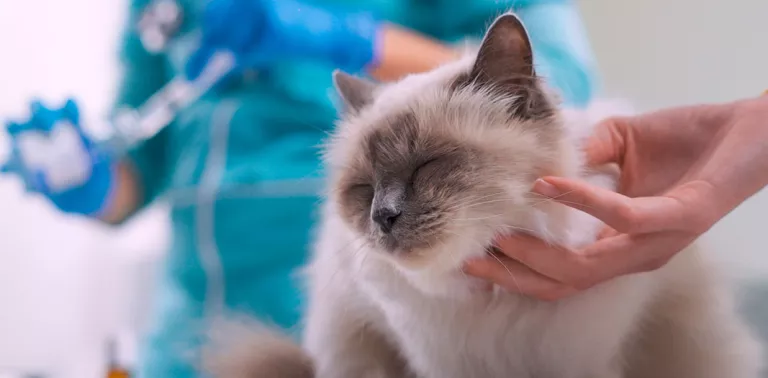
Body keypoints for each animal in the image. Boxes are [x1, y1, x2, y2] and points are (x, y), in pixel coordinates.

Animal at [202, 11, 760, 378]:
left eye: (428, 165)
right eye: (363, 190)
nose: (382, 216)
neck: (495, 302)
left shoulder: (582, 358)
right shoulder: (436, 361)